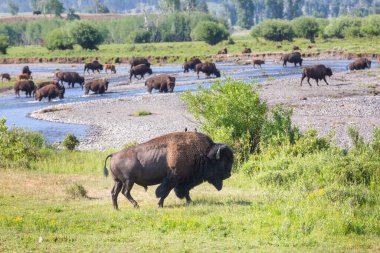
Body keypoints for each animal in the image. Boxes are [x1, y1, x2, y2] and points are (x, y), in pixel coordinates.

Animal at [104, 131, 235, 209]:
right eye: (223, 162)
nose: (228, 174)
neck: (203, 154)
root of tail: (114, 154)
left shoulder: (183, 181)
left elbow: (185, 191)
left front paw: (190, 202)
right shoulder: (173, 179)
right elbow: (164, 192)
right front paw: (160, 205)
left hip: (118, 182)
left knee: (114, 192)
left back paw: (116, 208)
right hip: (128, 181)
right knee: (125, 192)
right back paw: (136, 205)